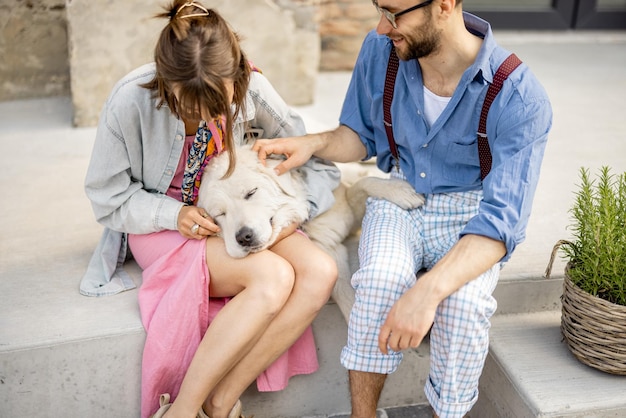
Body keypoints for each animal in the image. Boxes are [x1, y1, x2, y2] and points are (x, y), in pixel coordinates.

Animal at [197, 145, 422, 270]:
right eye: (220, 214)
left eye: (251, 193)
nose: (244, 237)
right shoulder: (330, 252)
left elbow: (364, 184)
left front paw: (403, 192)